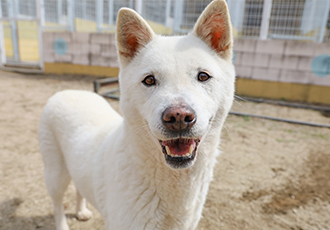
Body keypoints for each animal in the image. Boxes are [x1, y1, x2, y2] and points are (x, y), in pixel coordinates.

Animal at [38, 0, 235, 229]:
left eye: (203, 76)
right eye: (149, 80)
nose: (178, 117)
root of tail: (68, 91)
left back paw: (81, 211)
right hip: (56, 175)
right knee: (57, 204)